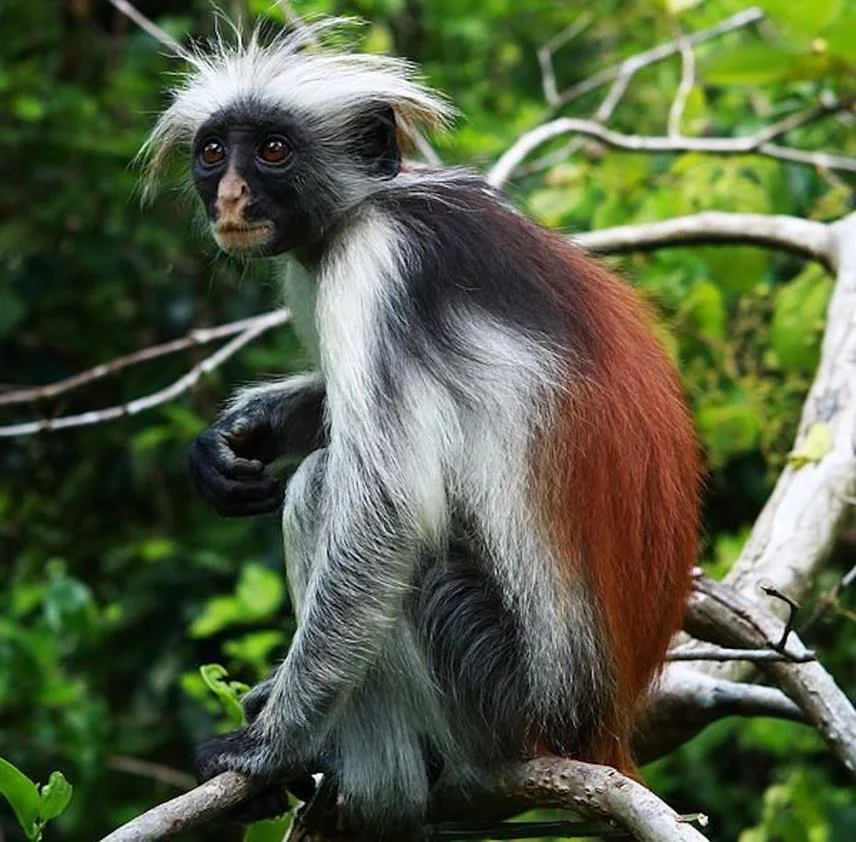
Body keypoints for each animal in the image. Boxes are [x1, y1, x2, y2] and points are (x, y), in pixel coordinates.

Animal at [143, 18, 702, 832]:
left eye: (273, 150)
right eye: (214, 151)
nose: (232, 195)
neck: (368, 206)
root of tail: (599, 730)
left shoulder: (378, 263)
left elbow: (385, 510)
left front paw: (267, 745)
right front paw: (239, 435)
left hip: (502, 693)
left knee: (330, 494)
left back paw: (378, 781)